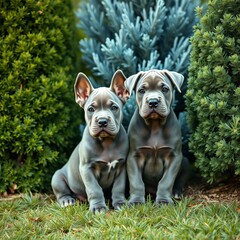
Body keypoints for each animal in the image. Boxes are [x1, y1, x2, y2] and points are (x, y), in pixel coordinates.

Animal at [51, 70, 129, 213]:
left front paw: (120, 203)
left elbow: (119, 187)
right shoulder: (87, 169)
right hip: (57, 177)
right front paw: (98, 207)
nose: (102, 121)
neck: (106, 142)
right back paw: (67, 200)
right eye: (91, 109)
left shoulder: (121, 167)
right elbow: (94, 189)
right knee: (61, 192)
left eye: (114, 107)